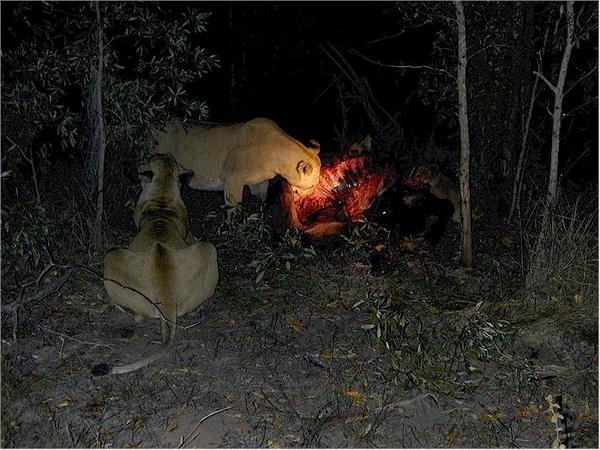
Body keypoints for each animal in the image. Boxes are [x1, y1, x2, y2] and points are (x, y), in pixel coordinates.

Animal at [155, 117, 324, 219]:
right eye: (312, 185)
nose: (311, 195)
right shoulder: (232, 179)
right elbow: (234, 207)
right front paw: (235, 229)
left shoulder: (260, 183)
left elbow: (261, 202)